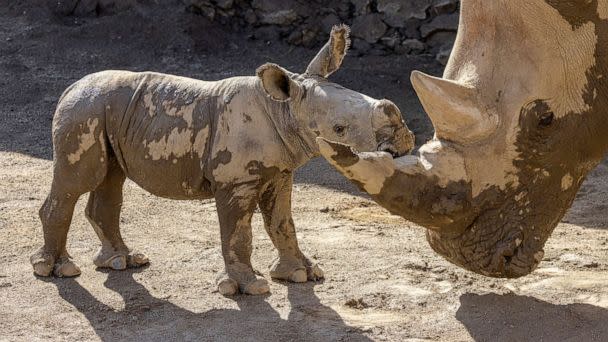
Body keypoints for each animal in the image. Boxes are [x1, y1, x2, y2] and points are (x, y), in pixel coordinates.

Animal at [30, 25, 416, 296]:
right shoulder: (235, 181)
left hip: (105, 111)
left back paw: (121, 262)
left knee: (110, 178)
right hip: (84, 111)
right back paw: (56, 270)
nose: (403, 138)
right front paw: (249, 287)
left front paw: (301, 274)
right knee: (77, 181)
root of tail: (69, 88)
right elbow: (238, 232)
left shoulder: (280, 172)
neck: (284, 107)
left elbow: (282, 222)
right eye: (339, 128)